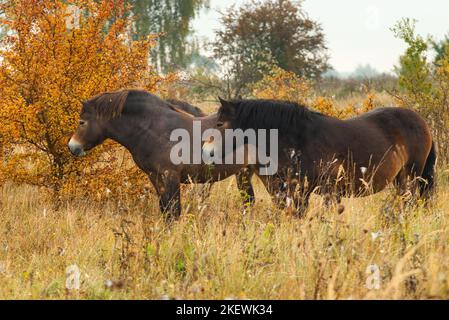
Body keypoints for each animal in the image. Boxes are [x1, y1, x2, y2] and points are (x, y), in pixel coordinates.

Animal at [67, 89, 256, 220]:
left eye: (82, 122)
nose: (72, 146)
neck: (155, 129)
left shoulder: (170, 175)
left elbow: (174, 210)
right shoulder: (155, 176)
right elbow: (165, 210)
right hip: (244, 173)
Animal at [215, 99, 436, 216]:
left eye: (219, 124)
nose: (211, 152)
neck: (298, 136)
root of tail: (421, 121)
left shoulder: (309, 190)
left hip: (414, 174)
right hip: (400, 178)